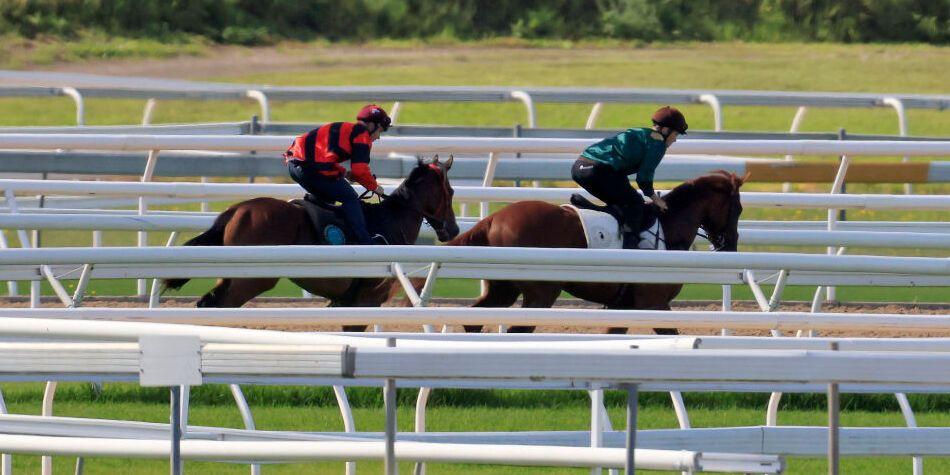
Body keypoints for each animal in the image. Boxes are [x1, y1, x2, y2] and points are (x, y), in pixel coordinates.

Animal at [165, 158, 462, 330]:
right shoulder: (366, 299)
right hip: (251, 280)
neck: (390, 221)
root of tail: (236, 210)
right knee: (218, 307)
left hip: (231, 277)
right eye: (450, 191)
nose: (453, 229)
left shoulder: (344, 303)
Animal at [450, 170, 748, 334]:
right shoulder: (654, 302)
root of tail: (494, 218)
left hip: (504, 288)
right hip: (541, 292)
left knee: (474, 321)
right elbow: (670, 333)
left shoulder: (624, 306)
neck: (668, 228)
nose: (730, 245)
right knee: (517, 330)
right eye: (738, 208)